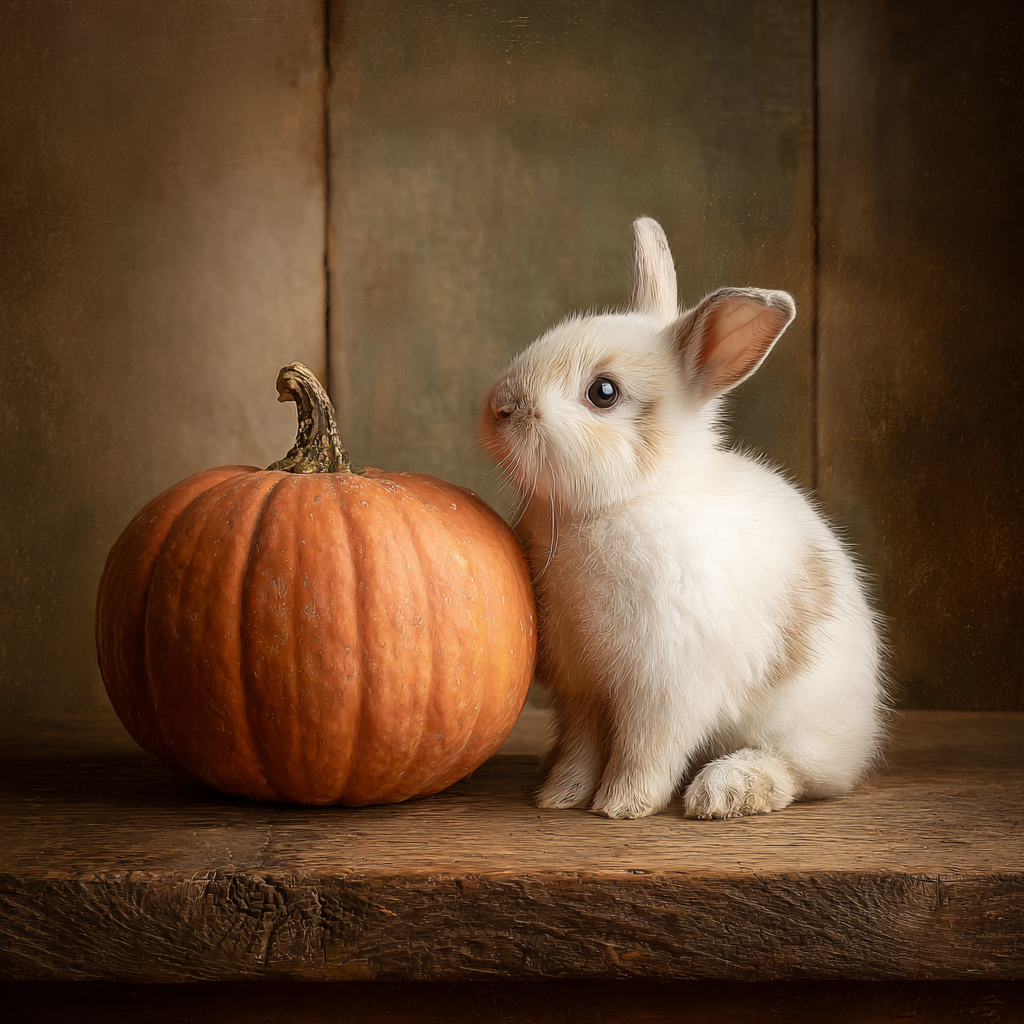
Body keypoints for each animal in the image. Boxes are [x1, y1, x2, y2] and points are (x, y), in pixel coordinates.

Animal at [479, 217, 885, 820]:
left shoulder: (667, 688)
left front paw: (620, 806)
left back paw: (727, 790)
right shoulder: (582, 689)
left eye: (604, 392)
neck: (621, 503)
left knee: (799, 774)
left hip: (803, 729)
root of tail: (864, 731)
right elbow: (581, 746)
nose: (499, 408)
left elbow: (646, 751)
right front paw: (560, 796)